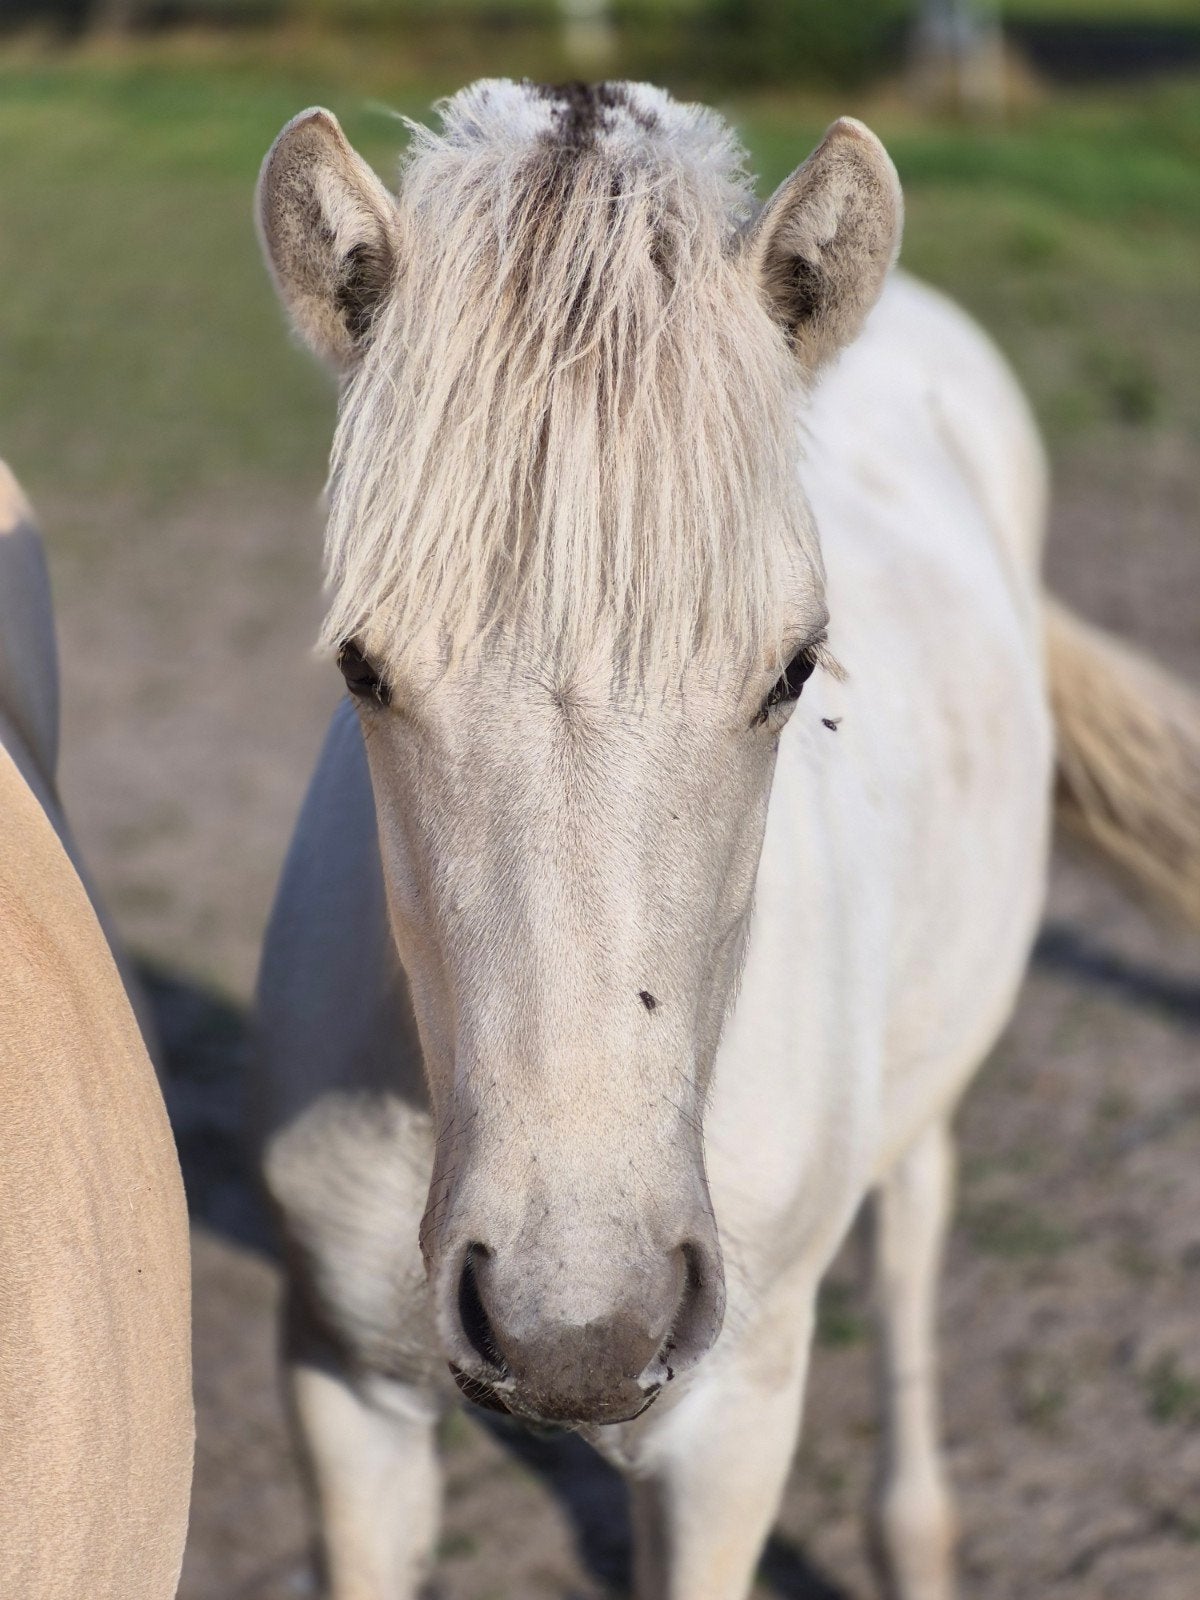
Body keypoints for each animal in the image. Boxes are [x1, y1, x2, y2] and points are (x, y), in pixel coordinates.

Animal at [253, 81, 1200, 1600]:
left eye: (794, 670)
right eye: (362, 667)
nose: (575, 1327)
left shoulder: (730, 1432)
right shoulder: (346, 1396)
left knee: (914, 1240)